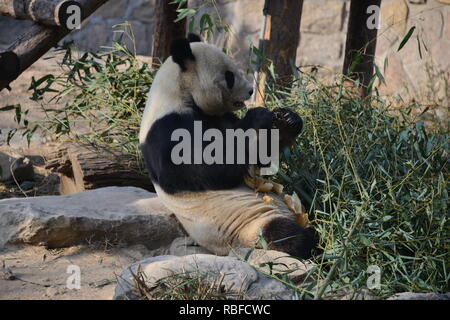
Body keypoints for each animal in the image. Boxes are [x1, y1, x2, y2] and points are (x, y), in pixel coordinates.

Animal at [139, 33, 314, 258]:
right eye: (229, 76)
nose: (250, 90)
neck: (178, 93)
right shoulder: (166, 128)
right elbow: (203, 169)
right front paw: (257, 115)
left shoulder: (218, 117)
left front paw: (288, 119)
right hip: (248, 226)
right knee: (287, 235)